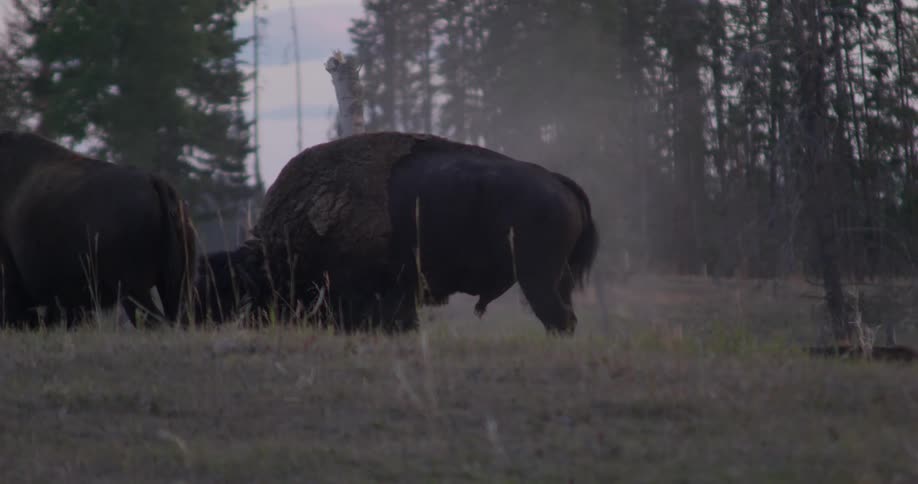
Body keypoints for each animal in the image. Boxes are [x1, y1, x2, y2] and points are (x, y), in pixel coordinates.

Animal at [197, 132, 598, 334]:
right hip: (557, 278)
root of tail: (558, 182)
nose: (198, 317)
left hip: (537, 279)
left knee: (558, 318)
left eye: (227, 287)